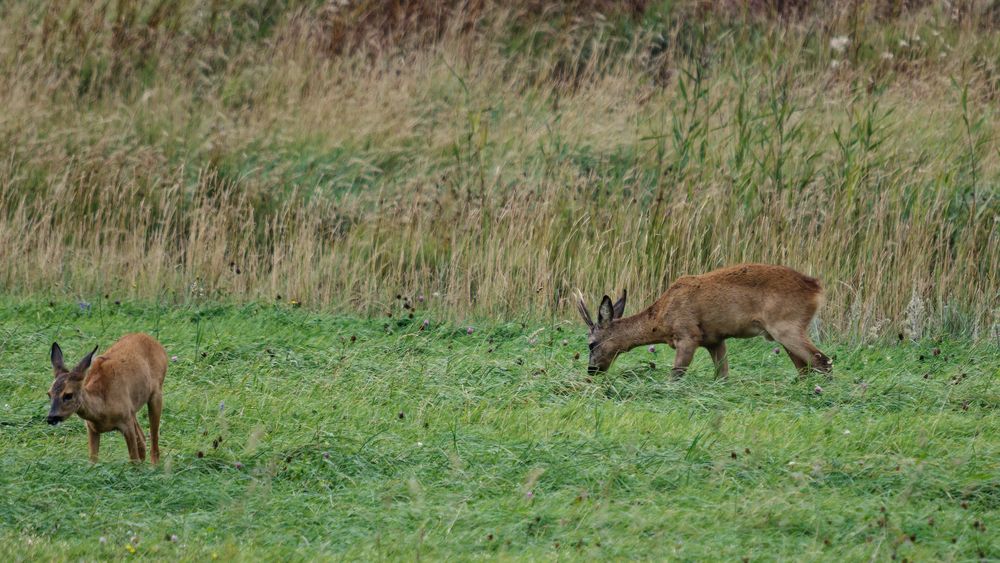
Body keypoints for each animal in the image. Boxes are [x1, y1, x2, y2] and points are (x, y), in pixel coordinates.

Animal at [47, 334, 167, 462]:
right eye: (49, 394)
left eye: (68, 395)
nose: (51, 418)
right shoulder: (91, 428)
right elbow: (92, 461)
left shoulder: (126, 422)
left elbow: (134, 460)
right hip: (133, 409)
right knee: (142, 439)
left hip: (156, 393)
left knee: (153, 439)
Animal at [576, 264, 832, 378]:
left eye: (591, 344)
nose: (591, 370)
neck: (661, 319)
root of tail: (817, 288)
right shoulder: (714, 339)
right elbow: (723, 376)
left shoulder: (688, 334)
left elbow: (676, 375)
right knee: (805, 367)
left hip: (787, 326)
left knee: (823, 361)